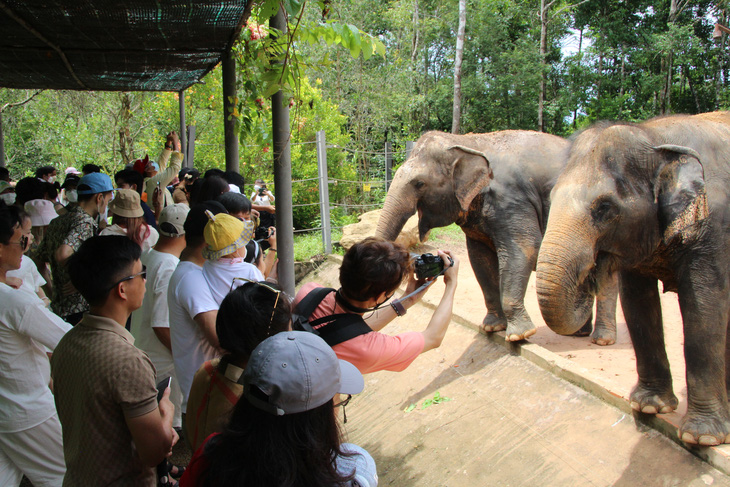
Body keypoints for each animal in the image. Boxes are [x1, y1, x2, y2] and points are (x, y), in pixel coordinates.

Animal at [372, 130, 616, 344]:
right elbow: (480, 259)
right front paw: (491, 327)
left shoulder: (511, 199)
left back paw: (600, 339)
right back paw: (578, 332)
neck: (468, 141)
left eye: (419, 183)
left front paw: (519, 335)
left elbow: (525, 249)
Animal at [532, 112, 728, 448]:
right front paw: (648, 405)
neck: (655, 136)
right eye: (552, 196)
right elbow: (638, 304)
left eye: (604, 207)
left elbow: (704, 306)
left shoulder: (713, 227)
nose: (590, 273)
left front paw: (701, 437)